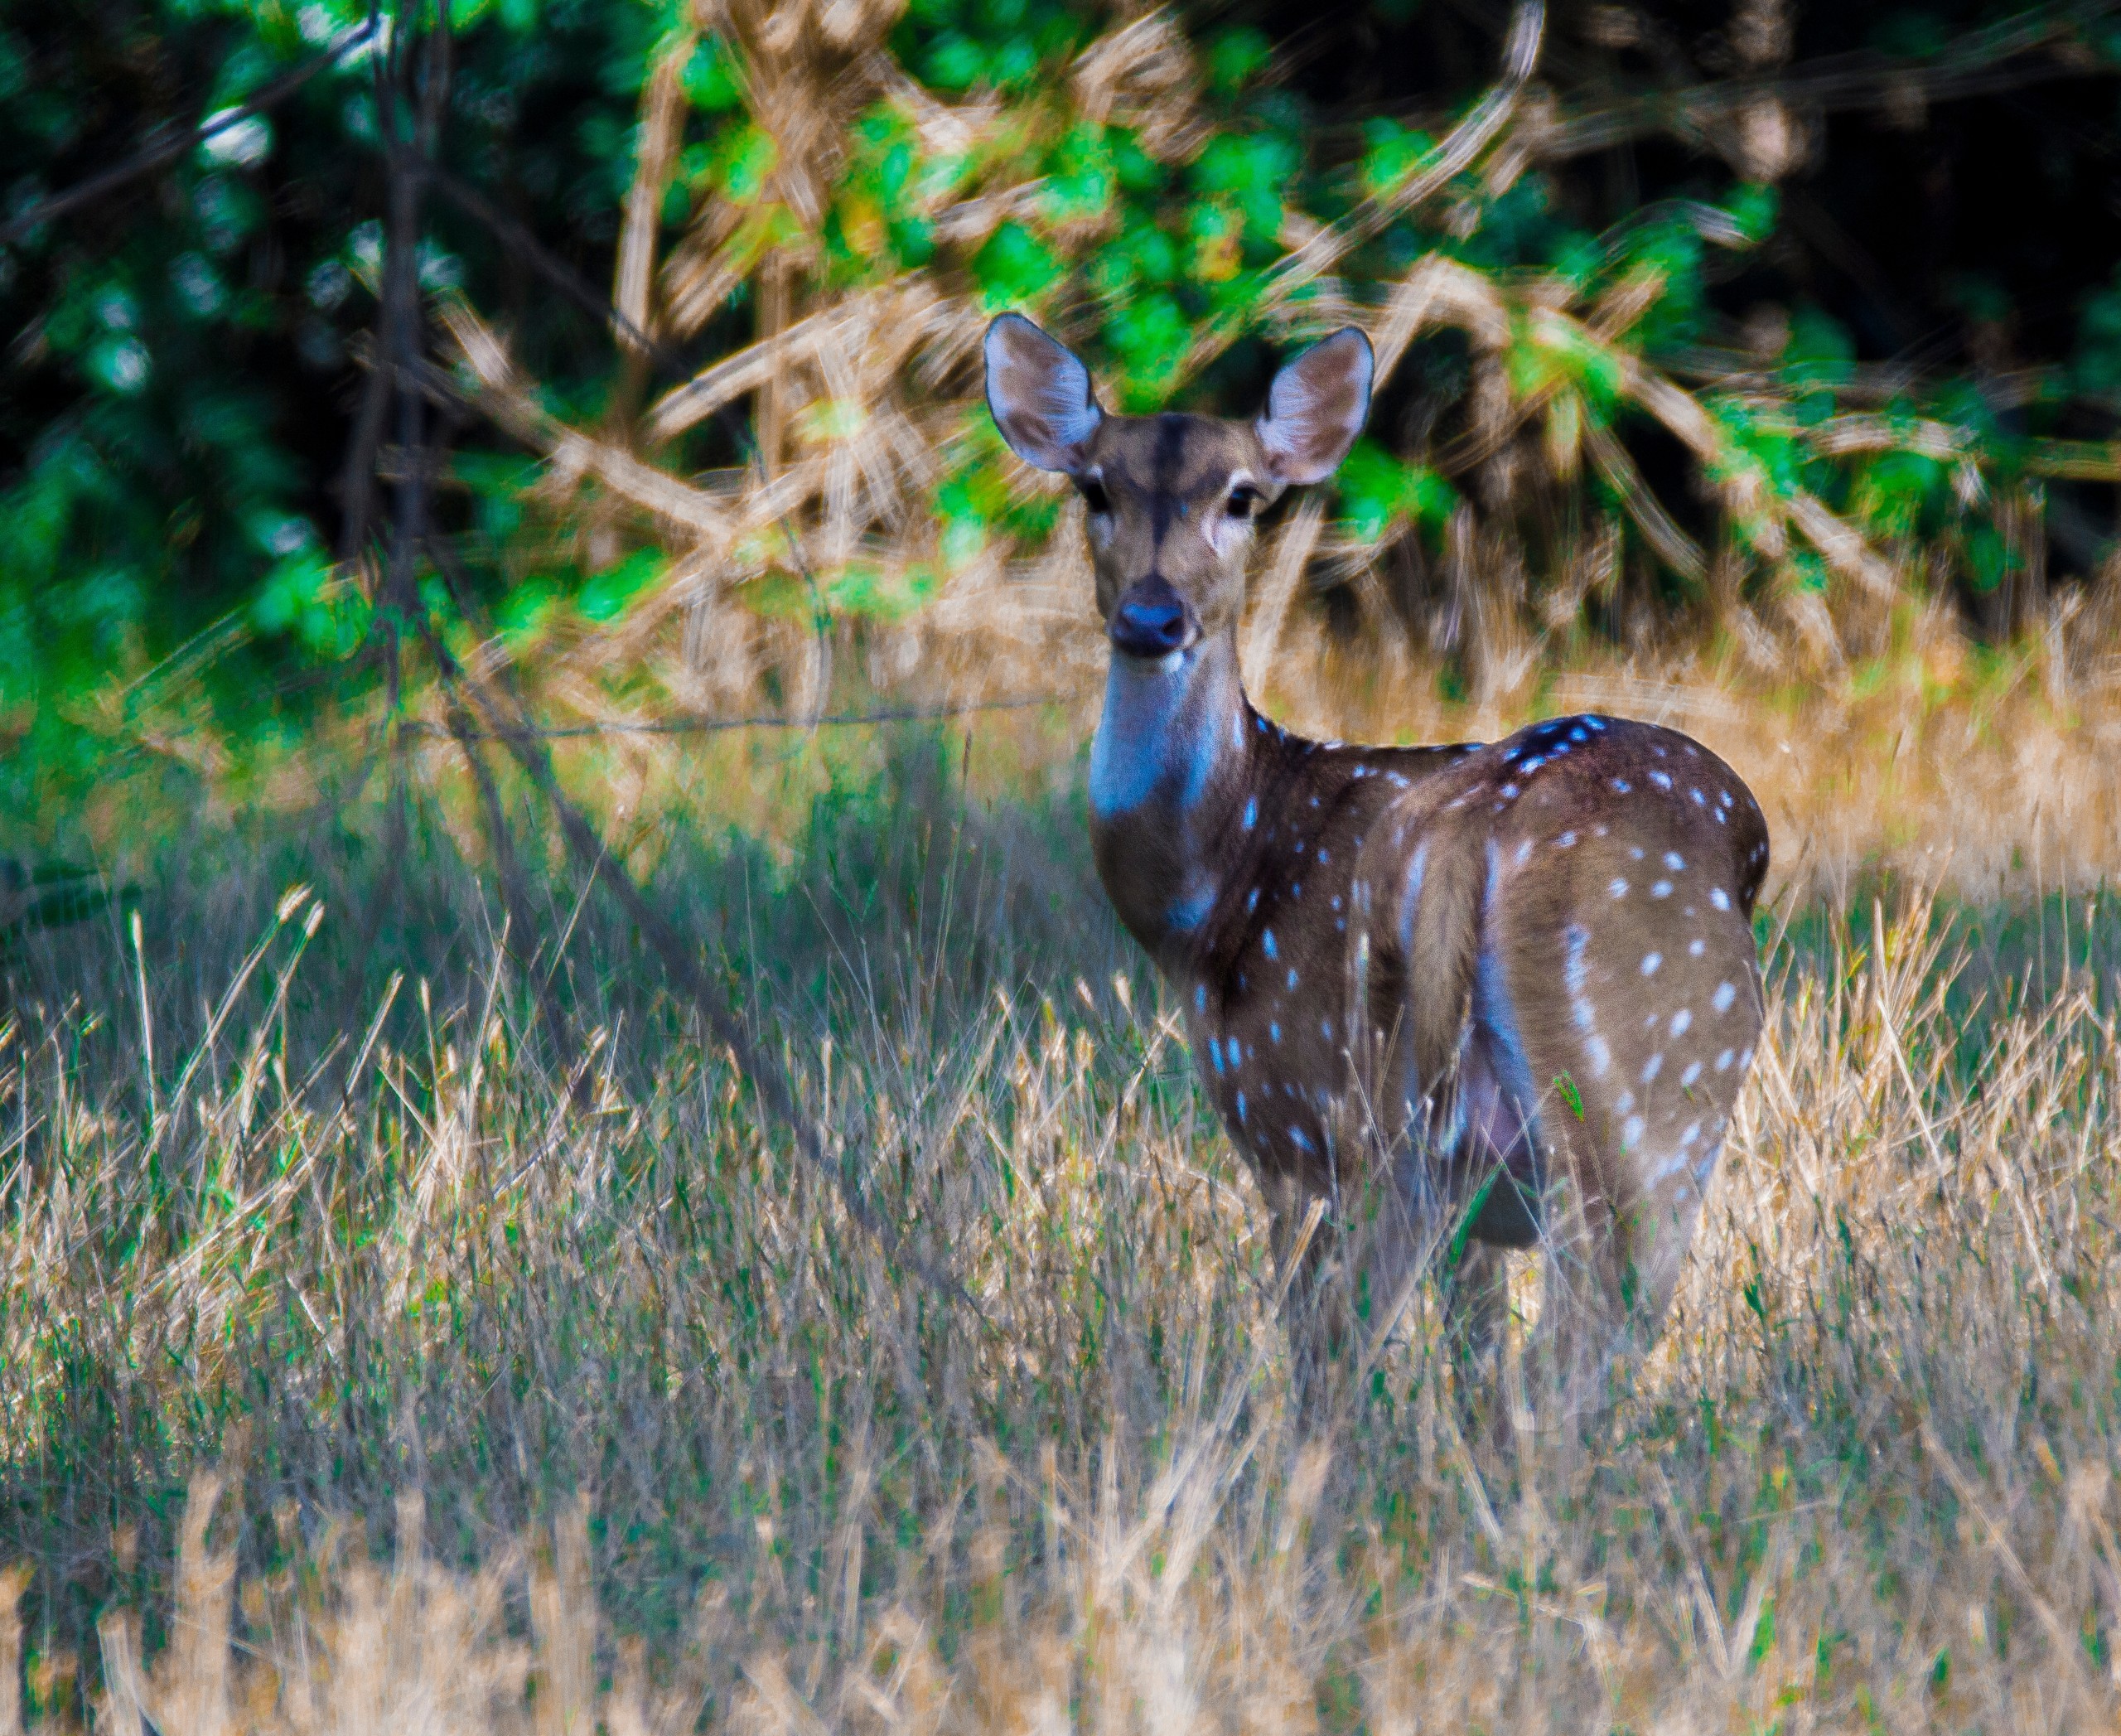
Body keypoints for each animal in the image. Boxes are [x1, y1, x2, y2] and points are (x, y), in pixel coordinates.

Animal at [983, 311, 1770, 1416]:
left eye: (1242, 495)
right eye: (1094, 488)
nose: (1150, 617)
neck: (1214, 893)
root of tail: (1487, 824)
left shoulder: (1285, 1123)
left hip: (1622, 1087)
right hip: (1566, 1115)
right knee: (1553, 1351)